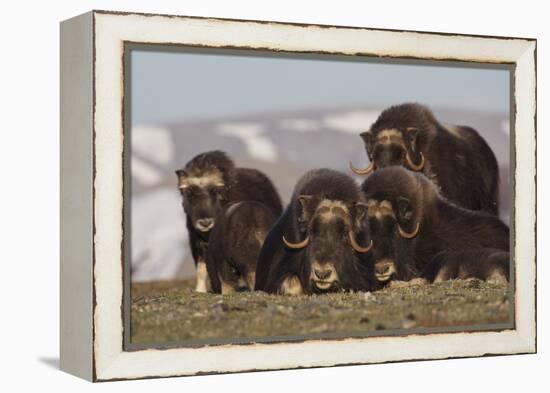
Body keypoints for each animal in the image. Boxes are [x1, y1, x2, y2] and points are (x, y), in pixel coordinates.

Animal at [176, 150, 282, 290]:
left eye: (215, 191)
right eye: (189, 194)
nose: (205, 222)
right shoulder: (195, 240)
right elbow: (201, 268)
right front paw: (200, 290)